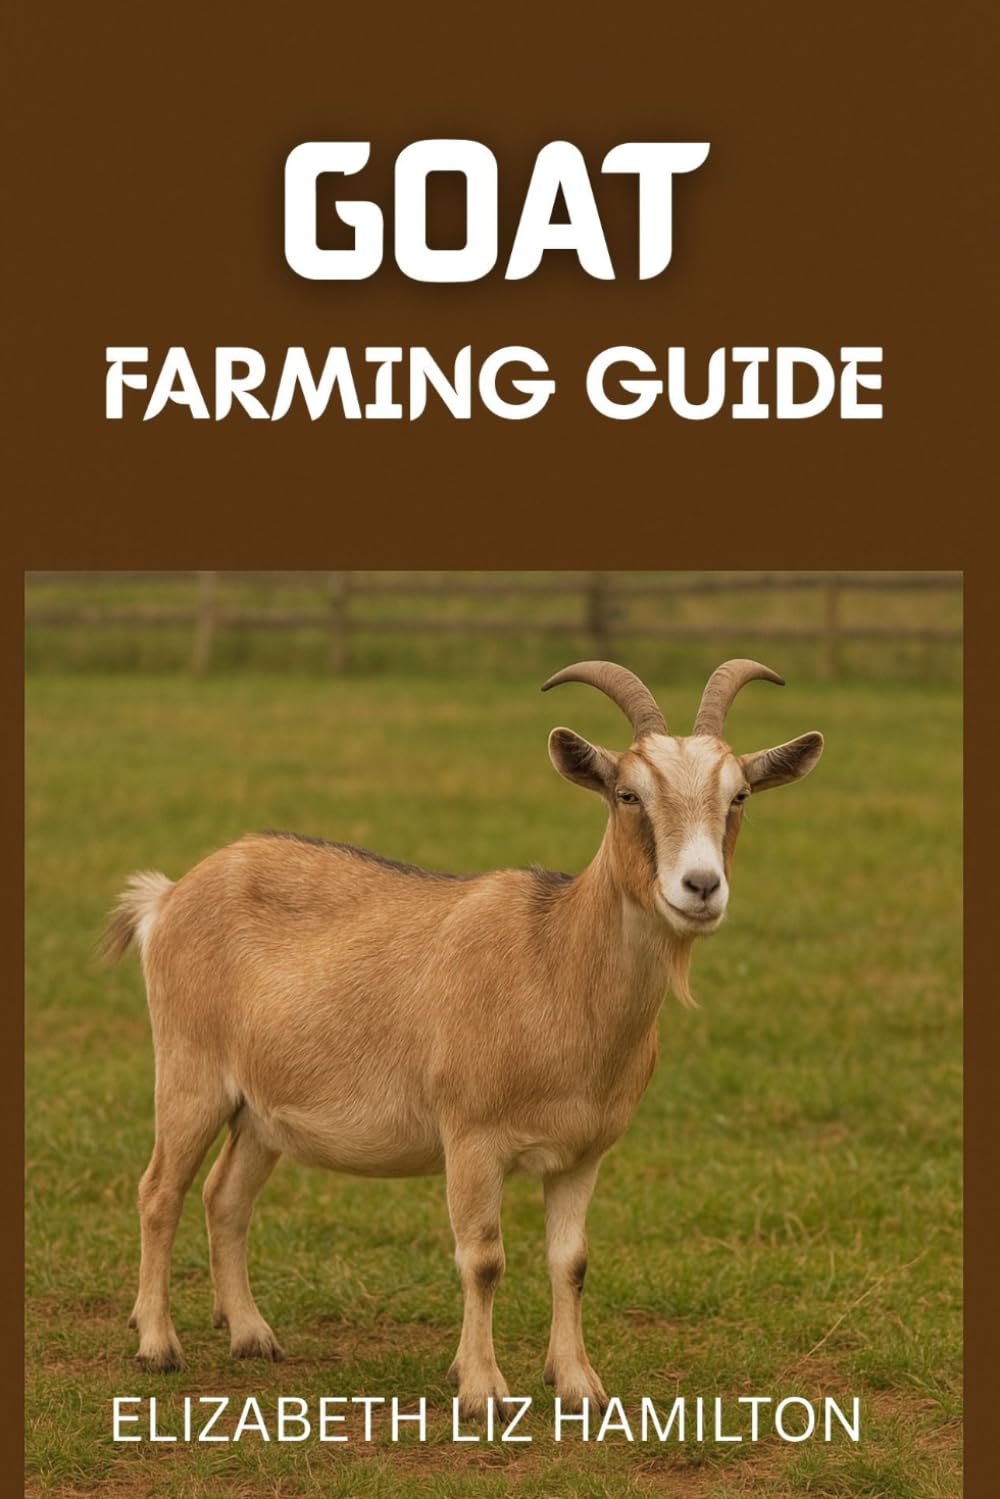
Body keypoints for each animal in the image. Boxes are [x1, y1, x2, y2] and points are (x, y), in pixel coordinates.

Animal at [103, 659, 823, 1416]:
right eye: (628, 793)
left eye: (738, 794)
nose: (701, 886)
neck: (556, 966)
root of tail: (168, 896)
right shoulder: (472, 1137)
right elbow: (482, 1259)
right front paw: (483, 1389)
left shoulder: (583, 1153)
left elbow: (571, 1262)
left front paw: (579, 1384)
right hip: (189, 1071)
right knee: (160, 1190)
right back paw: (157, 1343)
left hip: (261, 1110)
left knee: (225, 1197)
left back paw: (250, 1333)